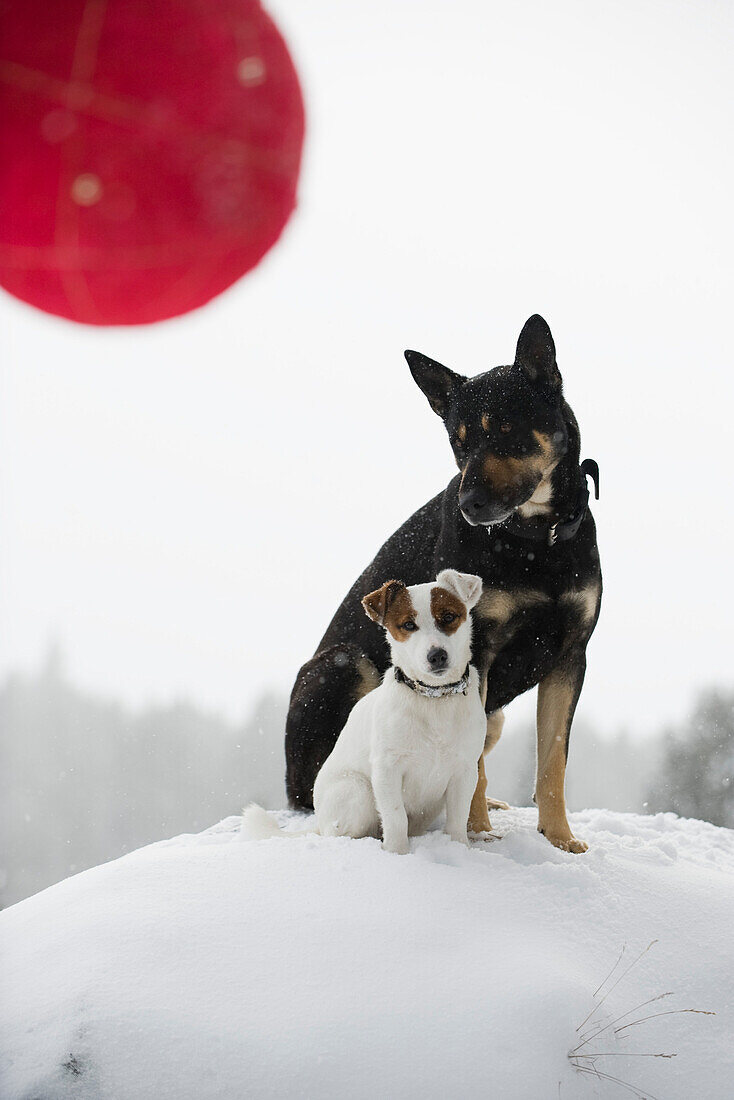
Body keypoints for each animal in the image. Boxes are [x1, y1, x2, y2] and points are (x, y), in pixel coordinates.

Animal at [244, 572, 490, 853]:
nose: (437, 655)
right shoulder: (387, 769)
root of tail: (320, 821)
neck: (433, 699)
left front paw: (460, 849)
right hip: (358, 791)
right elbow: (395, 818)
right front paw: (397, 854)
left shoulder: (464, 771)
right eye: (408, 625)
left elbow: (458, 819)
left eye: (449, 617)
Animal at [283, 314, 598, 853]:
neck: (537, 540)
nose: (470, 504)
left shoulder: (570, 654)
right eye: (459, 442)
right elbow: (471, 770)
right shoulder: (481, 649)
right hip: (340, 667)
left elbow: (552, 759)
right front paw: (477, 832)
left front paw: (559, 839)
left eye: (508, 429)